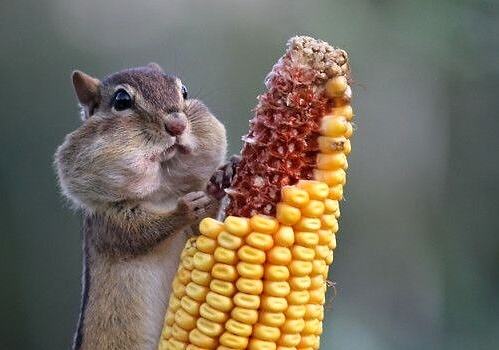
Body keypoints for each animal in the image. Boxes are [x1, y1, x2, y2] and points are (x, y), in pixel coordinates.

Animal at [54, 63, 236, 350]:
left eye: (184, 91)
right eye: (121, 100)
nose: (177, 124)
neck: (162, 192)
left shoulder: (193, 233)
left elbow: (203, 228)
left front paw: (221, 177)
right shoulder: (109, 223)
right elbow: (140, 234)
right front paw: (183, 209)